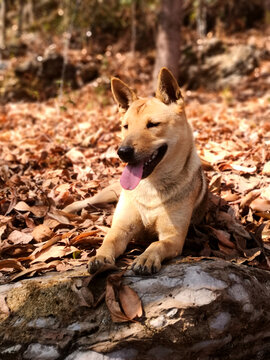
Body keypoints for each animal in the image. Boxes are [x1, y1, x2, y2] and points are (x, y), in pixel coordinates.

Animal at [87, 67, 208, 276]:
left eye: (153, 124)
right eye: (125, 126)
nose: (122, 152)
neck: (152, 186)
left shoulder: (173, 237)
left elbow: (156, 244)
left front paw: (146, 258)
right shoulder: (121, 228)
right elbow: (108, 240)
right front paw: (100, 256)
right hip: (102, 196)